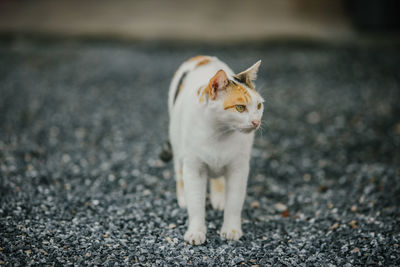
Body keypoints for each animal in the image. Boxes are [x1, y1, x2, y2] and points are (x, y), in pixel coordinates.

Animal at [161, 55, 264, 246]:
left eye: (259, 106)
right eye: (240, 107)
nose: (256, 122)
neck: (219, 135)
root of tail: (202, 57)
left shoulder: (238, 169)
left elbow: (234, 202)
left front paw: (231, 229)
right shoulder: (194, 169)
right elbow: (196, 203)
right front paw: (196, 231)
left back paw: (219, 198)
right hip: (177, 145)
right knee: (179, 171)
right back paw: (183, 198)